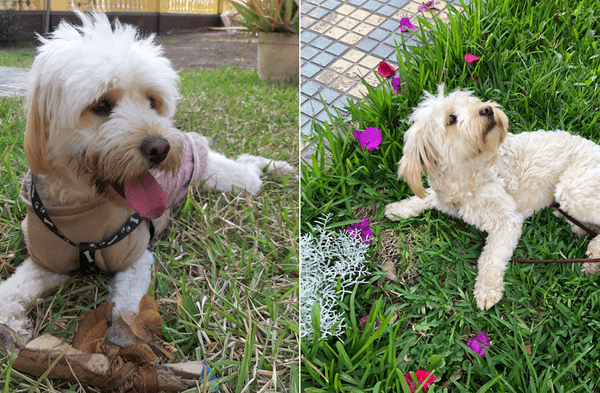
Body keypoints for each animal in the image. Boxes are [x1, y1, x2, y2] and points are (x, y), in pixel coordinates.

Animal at [384, 85, 600, 310]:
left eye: (472, 102)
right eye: (451, 118)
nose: (486, 109)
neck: (468, 179)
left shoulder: (507, 221)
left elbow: (491, 257)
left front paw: (487, 290)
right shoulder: (444, 196)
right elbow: (426, 196)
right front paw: (399, 209)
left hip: (571, 189)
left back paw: (594, 253)